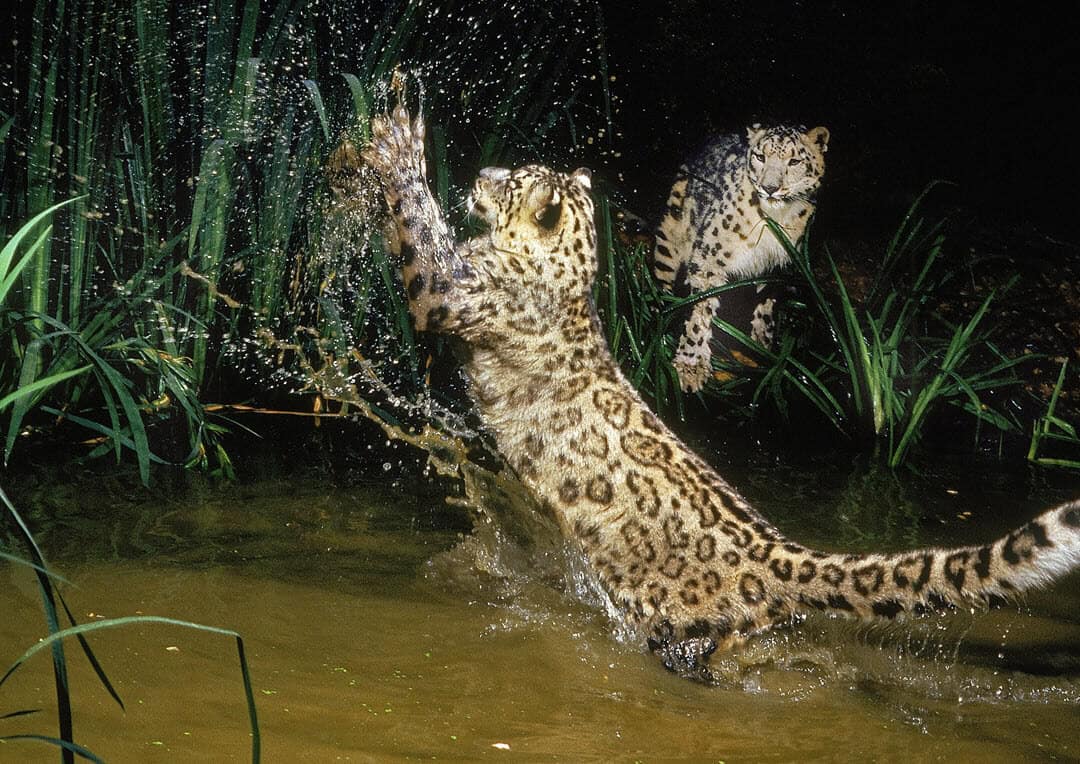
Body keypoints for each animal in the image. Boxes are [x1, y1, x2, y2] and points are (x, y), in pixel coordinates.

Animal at [652, 125, 829, 395]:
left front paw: (761, 346)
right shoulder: (709, 258)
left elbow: (766, 306)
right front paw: (690, 367)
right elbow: (699, 313)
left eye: (795, 161)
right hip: (671, 234)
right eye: (760, 157)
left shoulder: (779, 267)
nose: (770, 187)